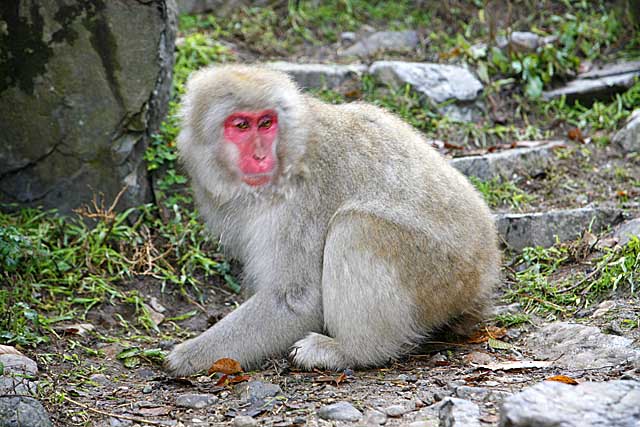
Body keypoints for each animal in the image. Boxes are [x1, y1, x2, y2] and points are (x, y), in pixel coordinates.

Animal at [166, 65, 500, 376]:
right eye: (240, 125)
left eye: (265, 123)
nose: (261, 157)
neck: (289, 151)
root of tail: (484, 276)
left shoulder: (300, 201)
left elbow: (295, 299)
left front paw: (188, 356)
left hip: (441, 276)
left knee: (356, 228)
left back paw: (352, 351)